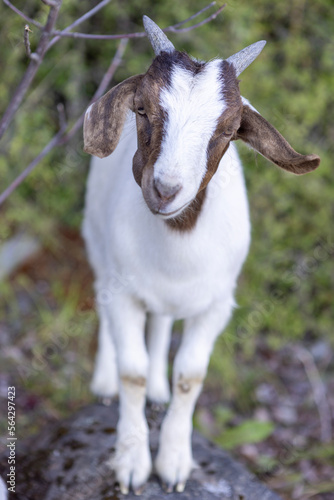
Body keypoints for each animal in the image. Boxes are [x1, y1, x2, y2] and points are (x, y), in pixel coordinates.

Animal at [82, 16, 320, 496]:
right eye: (141, 109)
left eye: (229, 131)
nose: (165, 190)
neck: (176, 245)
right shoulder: (123, 291)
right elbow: (131, 371)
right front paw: (132, 464)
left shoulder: (216, 304)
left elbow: (189, 377)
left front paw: (174, 464)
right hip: (97, 245)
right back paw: (103, 381)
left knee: (161, 322)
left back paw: (158, 392)